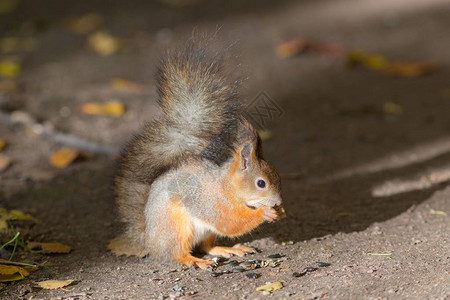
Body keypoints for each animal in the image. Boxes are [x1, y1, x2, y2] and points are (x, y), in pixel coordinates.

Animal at [107, 38, 284, 270]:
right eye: (261, 183)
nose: (278, 201)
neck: (227, 187)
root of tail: (150, 240)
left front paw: (279, 212)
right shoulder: (213, 204)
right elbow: (230, 223)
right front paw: (265, 212)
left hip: (205, 232)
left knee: (206, 246)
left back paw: (227, 249)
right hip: (177, 227)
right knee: (176, 253)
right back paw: (193, 260)